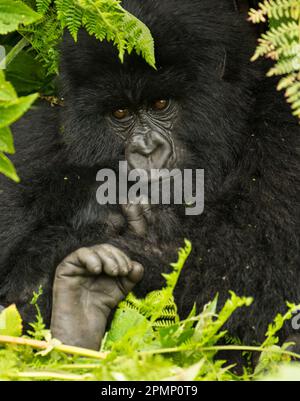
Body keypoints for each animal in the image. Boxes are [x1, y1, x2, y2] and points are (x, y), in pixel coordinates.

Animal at [0, 0, 300, 350]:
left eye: (160, 103)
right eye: (120, 113)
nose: (145, 150)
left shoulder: (284, 134)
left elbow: (260, 267)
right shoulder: (28, 144)